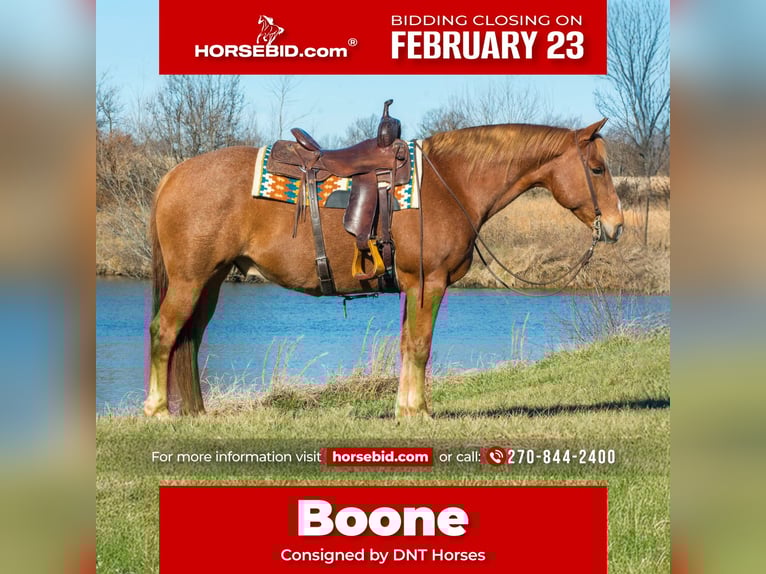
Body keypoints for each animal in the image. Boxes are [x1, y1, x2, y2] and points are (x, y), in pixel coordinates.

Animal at [144, 119, 624, 419]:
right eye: (597, 168)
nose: (617, 226)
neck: (450, 182)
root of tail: (172, 175)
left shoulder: (413, 287)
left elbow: (409, 345)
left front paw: (410, 408)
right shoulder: (428, 282)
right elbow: (421, 346)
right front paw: (416, 413)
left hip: (211, 281)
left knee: (189, 338)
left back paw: (196, 413)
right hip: (190, 280)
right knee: (164, 332)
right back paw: (157, 410)